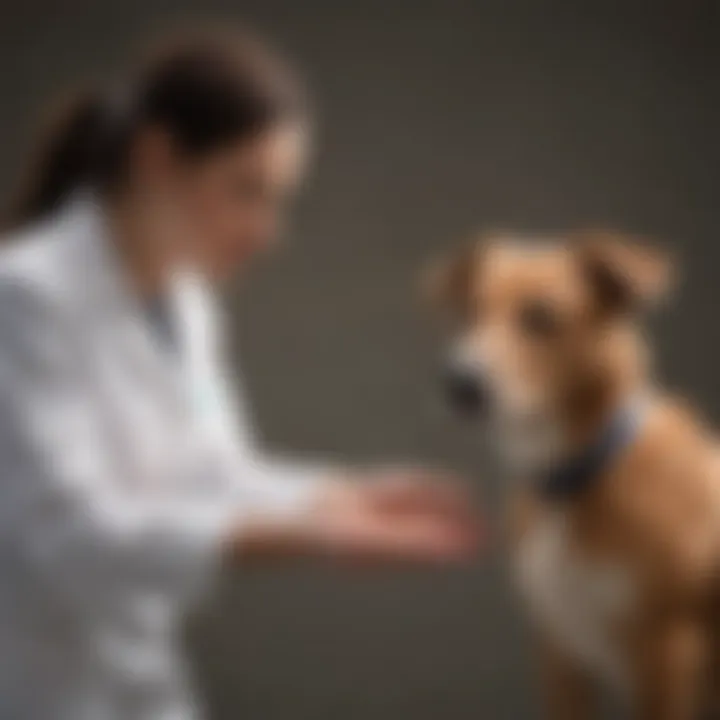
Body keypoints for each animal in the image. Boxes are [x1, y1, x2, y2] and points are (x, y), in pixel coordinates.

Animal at [428, 232, 720, 720]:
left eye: (543, 317)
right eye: (469, 312)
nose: (461, 384)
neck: (574, 479)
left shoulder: (669, 660)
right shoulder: (560, 656)